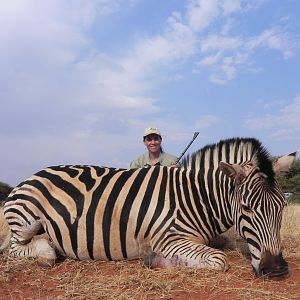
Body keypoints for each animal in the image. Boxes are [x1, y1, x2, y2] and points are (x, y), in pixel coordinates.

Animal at [0, 137, 290, 278]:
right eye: (247, 209)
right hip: (27, 219)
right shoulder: (168, 238)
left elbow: (230, 242)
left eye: (283, 207)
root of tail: (32, 175)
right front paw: (155, 260)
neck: (196, 197)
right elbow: (219, 259)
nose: (277, 269)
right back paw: (46, 252)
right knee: (16, 248)